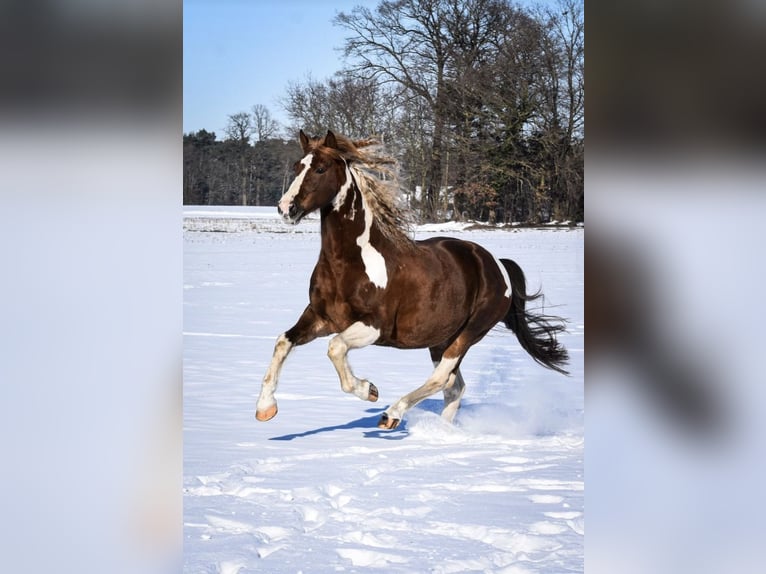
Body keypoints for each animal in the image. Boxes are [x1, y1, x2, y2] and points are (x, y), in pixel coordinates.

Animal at [255, 130, 568, 432]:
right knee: (455, 387)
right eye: (297, 167)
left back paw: (392, 414)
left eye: (320, 168)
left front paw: (369, 389)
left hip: (469, 333)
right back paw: (441, 431)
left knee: (442, 378)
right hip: (441, 338)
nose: (286, 208)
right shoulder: (321, 318)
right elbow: (283, 342)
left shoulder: (373, 326)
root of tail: (496, 264)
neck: (348, 263)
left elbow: (335, 348)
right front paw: (265, 408)